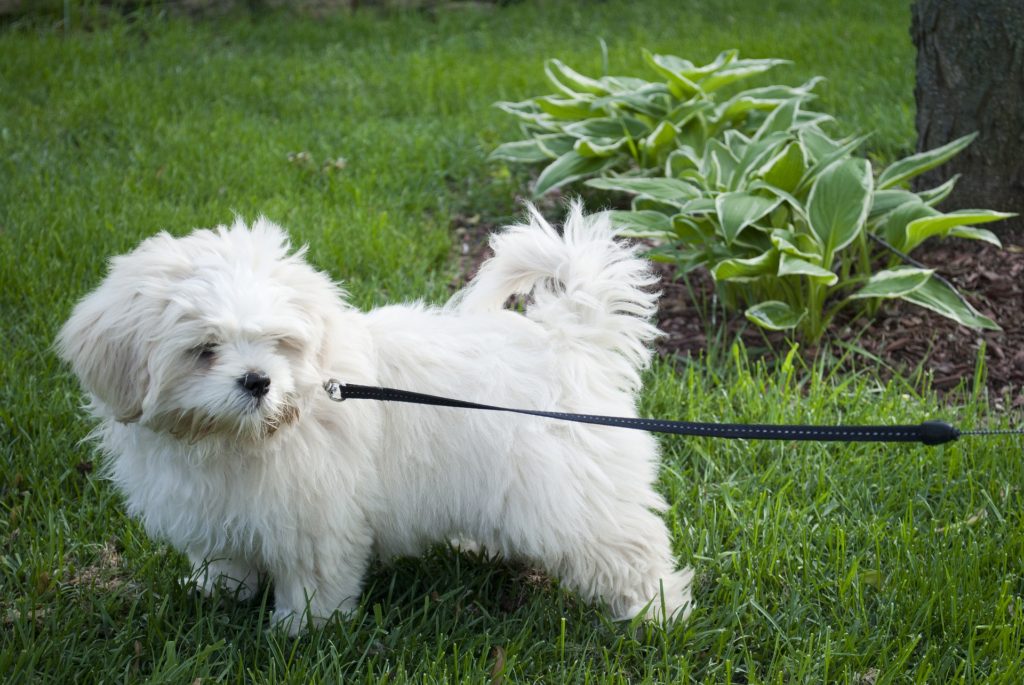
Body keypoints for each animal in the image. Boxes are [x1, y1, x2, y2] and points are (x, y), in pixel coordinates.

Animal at [58, 201, 696, 630]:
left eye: (280, 343)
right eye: (204, 349)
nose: (258, 381)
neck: (245, 437)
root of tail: (569, 339)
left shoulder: (314, 517)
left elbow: (314, 577)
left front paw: (302, 630)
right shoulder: (221, 509)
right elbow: (226, 556)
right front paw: (219, 591)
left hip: (576, 497)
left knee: (627, 547)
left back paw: (658, 611)